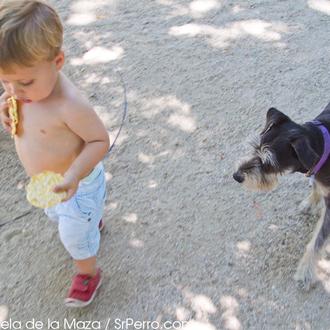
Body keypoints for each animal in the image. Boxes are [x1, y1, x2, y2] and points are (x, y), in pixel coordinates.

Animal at [233, 102, 330, 288]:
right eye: (255, 148)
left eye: (269, 164)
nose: (237, 176)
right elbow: (316, 185)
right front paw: (310, 202)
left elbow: (317, 242)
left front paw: (305, 272)